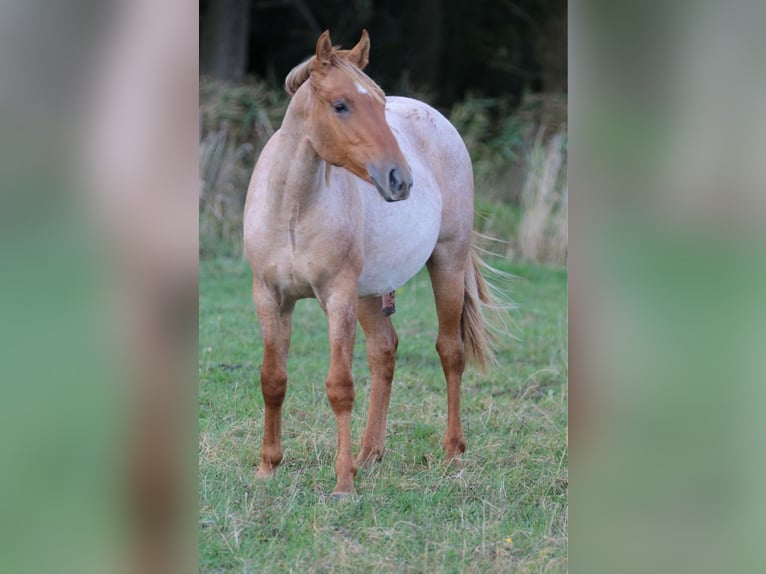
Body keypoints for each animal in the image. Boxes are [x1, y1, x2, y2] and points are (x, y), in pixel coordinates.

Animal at [244, 30, 498, 500]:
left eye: (380, 105)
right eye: (340, 105)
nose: (400, 179)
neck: (292, 208)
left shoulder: (338, 296)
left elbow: (340, 387)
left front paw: (343, 483)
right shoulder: (270, 296)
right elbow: (273, 379)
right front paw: (268, 467)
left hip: (447, 262)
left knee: (450, 352)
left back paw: (452, 452)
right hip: (369, 293)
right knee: (384, 353)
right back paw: (369, 454)